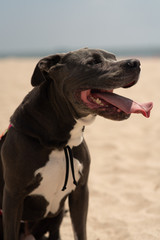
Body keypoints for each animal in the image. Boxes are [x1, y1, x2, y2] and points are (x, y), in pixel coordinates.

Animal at [0, 47, 152, 239]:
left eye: (114, 57)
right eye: (93, 62)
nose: (136, 63)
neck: (59, 141)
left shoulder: (80, 192)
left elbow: (80, 231)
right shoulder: (13, 196)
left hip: (55, 219)